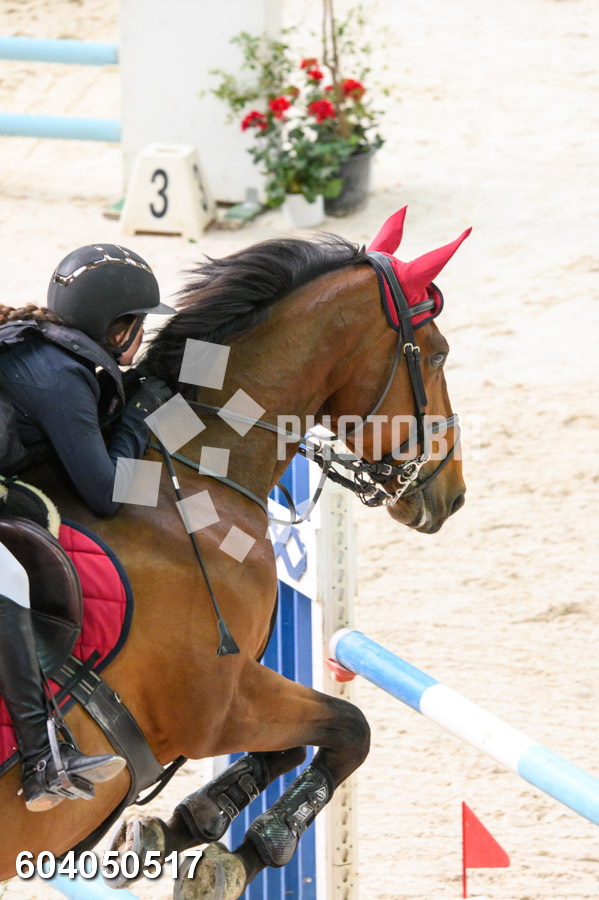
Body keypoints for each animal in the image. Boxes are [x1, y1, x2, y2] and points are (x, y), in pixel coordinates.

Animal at [0, 208, 469, 898]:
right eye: (437, 354)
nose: (452, 495)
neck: (185, 487)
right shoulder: (220, 709)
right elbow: (352, 729)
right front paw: (252, 848)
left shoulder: (243, 696)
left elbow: (298, 747)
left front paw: (183, 827)